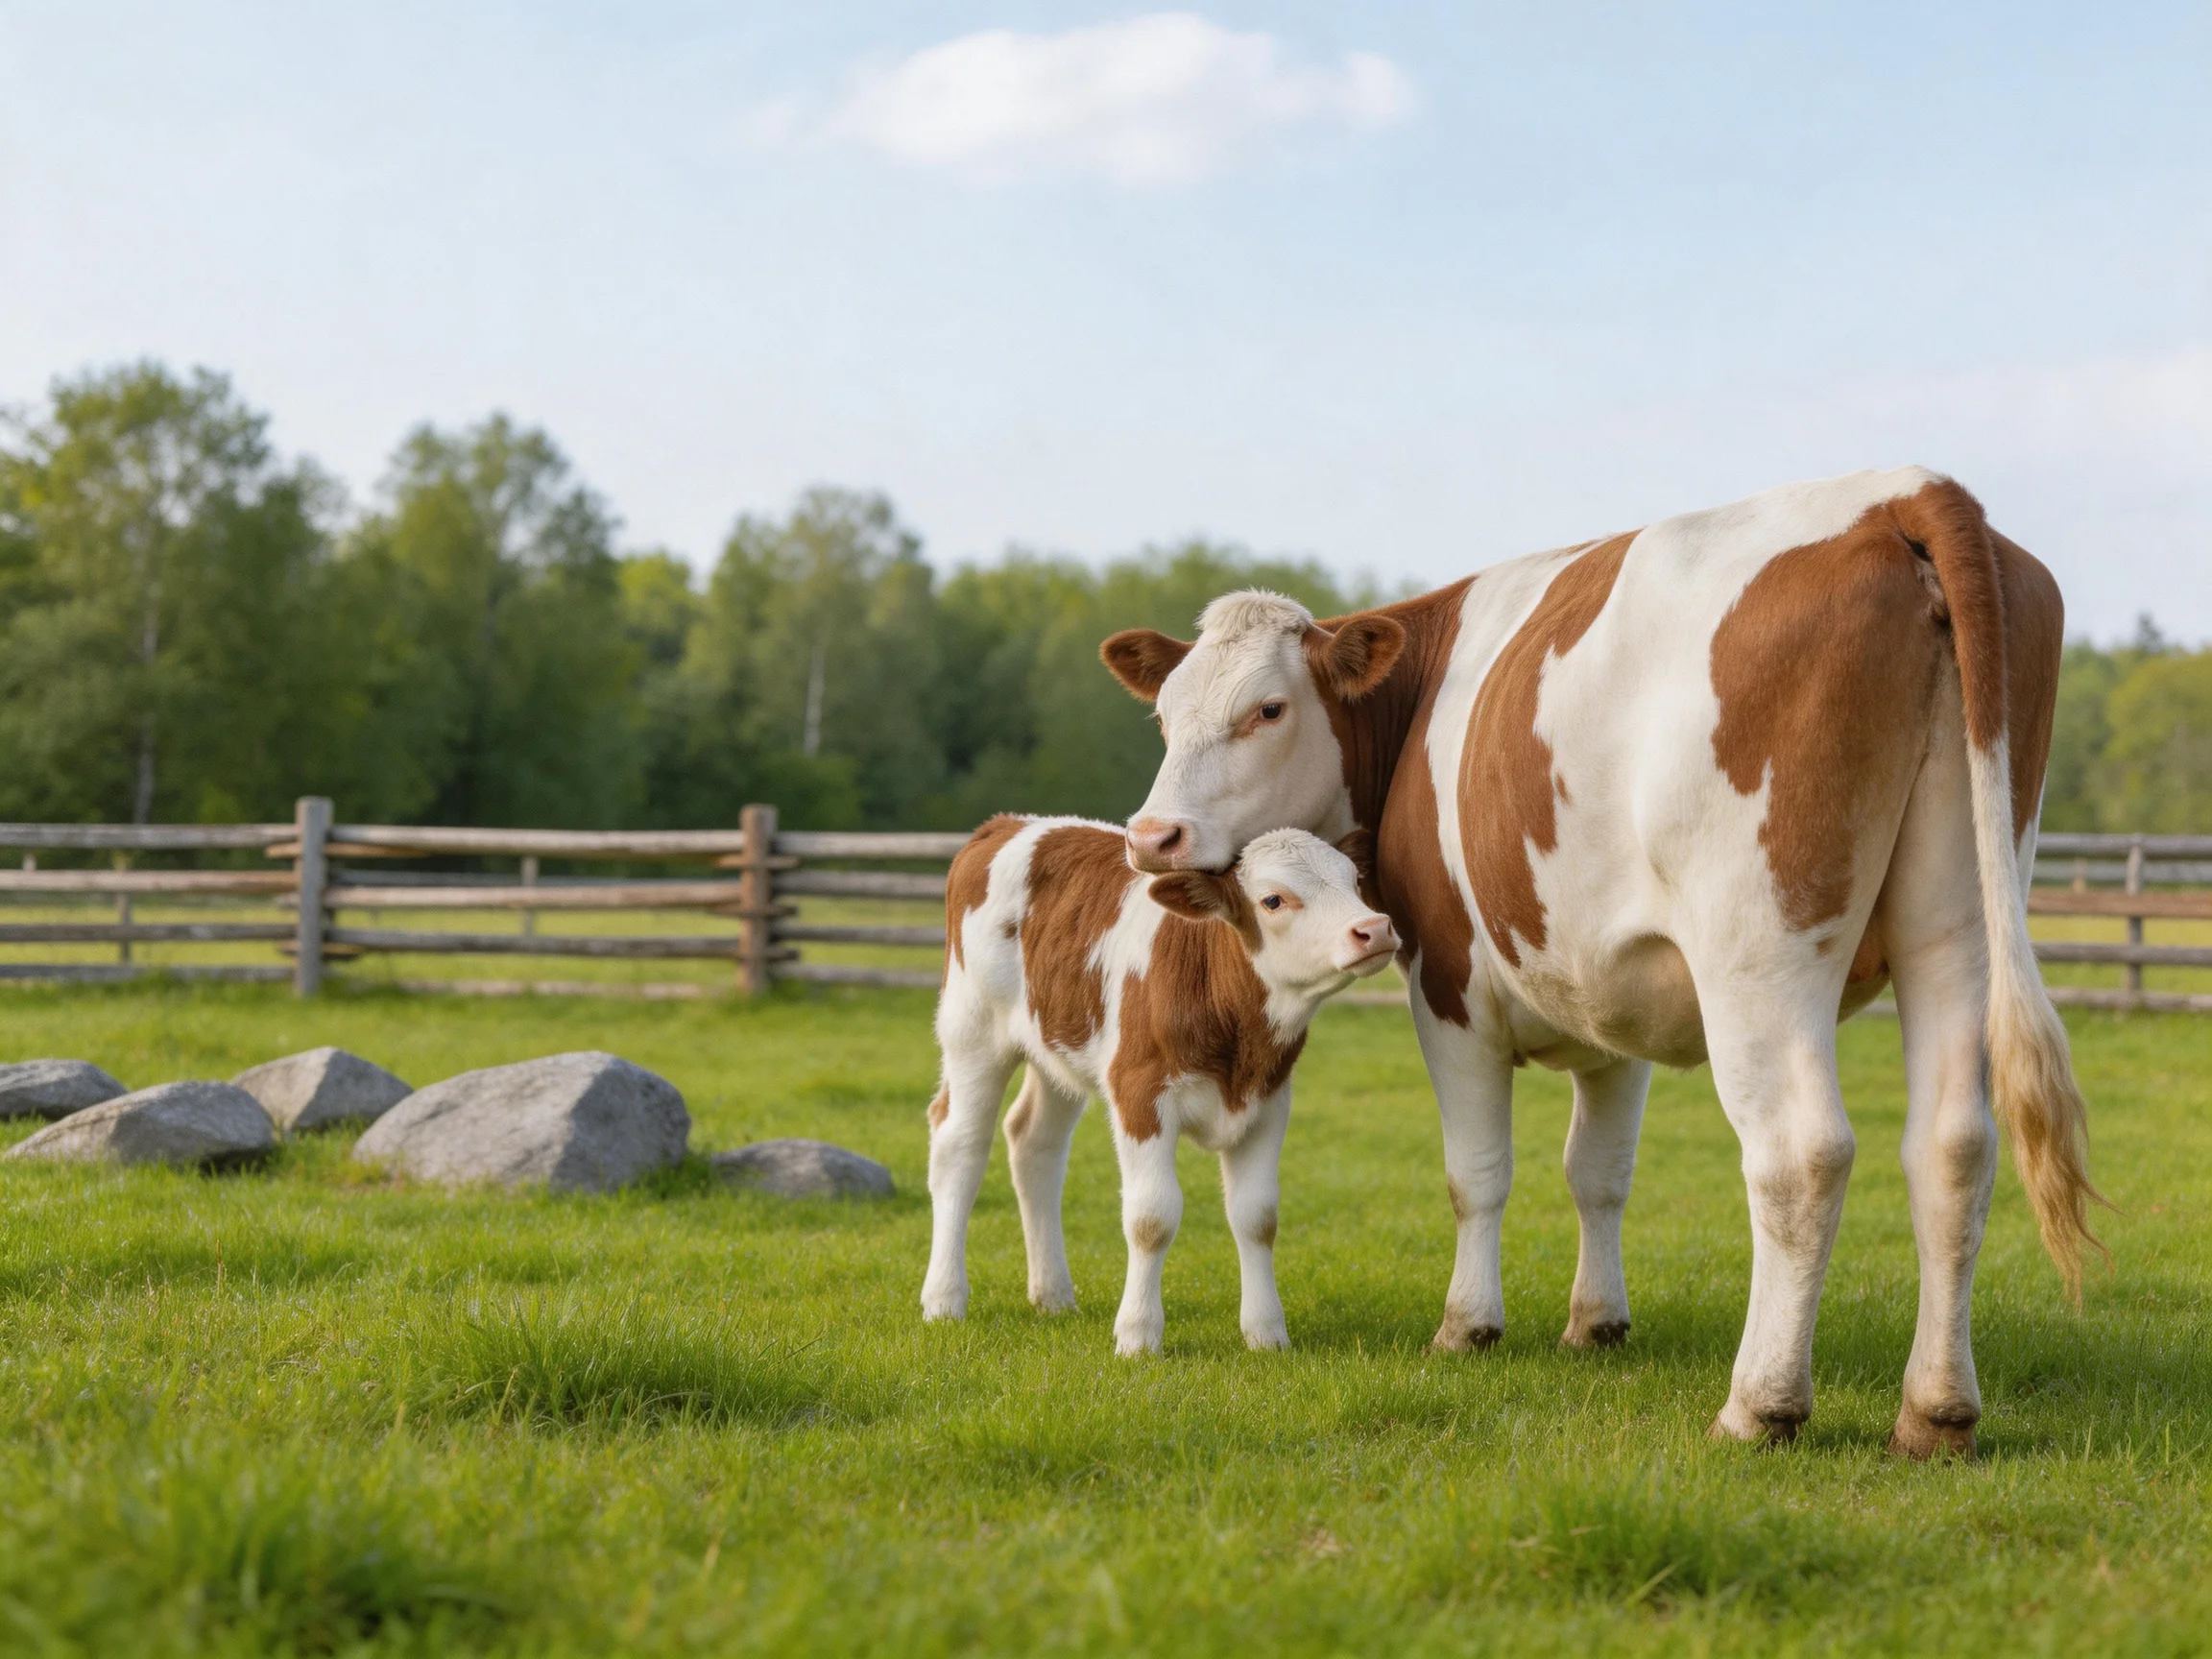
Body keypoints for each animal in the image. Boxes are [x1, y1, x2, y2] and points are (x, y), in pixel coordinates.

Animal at [921, 817, 1397, 1354]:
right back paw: (944, 1299)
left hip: (1057, 1049)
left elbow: (1257, 1217)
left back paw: (1054, 1295)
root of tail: (1010, 822)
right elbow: (1152, 1218)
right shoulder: (1139, 1093)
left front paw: (1267, 1333)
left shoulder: (1270, 1101)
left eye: (1353, 881)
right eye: (1273, 900)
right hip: (972, 1030)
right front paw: (1138, 1336)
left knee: (1034, 1143)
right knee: (959, 1146)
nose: (1375, 929)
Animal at [1099, 467, 2096, 1456]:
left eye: (1267, 709)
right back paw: (1936, 1411)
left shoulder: (1447, 984)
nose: (1151, 836)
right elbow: (1599, 1172)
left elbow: (1476, 1172)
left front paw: (1468, 1325)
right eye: (1164, 715)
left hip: (1759, 949)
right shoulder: (1620, 999)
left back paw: (1760, 1404)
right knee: (1953, 1147)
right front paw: (1597, 1322)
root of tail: (1903, 493)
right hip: (1956, 920)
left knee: (1801, 1154)